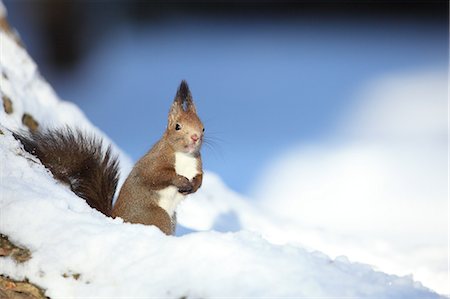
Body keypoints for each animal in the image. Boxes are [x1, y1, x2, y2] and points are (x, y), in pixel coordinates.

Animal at [13, 81, 204, 236]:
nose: (195, 137)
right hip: (157, 216)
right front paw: (181, 181)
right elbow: (155, 176)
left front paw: (193, 185)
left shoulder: (197, 164)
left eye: (203, 128)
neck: (184, 156)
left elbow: (200, 179)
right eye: (177, 126)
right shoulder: (155, 161)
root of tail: (114, 218)